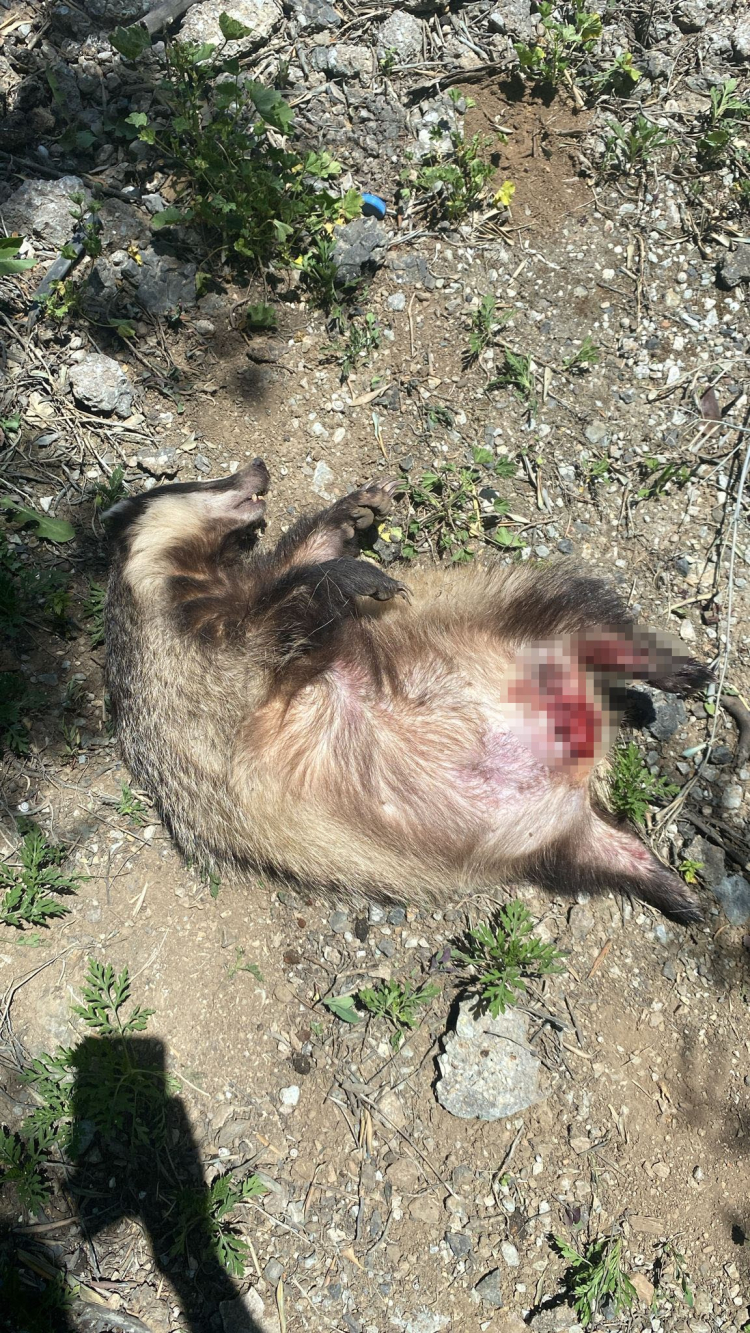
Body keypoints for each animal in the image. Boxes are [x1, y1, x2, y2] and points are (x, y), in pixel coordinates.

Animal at [103, 460, 711, 922]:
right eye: (207, 481)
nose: (257, 467)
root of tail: (583, 748)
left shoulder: (240, 604)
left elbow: (298, 563)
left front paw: (357, 509)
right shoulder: (198, 671)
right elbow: (276, 623)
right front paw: (352, 574)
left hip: (510, 623)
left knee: (586, 621)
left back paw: (674, 673)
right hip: (553, 838)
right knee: (607, 850)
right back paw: (671, 884)